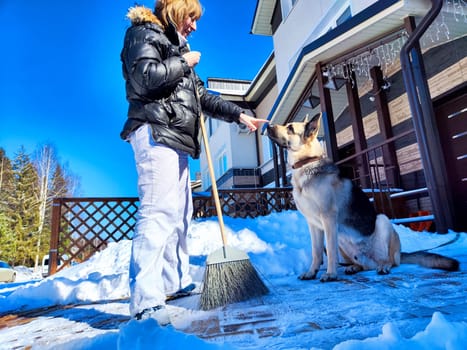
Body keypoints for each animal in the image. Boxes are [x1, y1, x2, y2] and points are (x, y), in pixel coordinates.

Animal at [266, 113, 460, 284]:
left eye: (290, 128)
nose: (267, 126)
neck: (306, 163)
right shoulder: (314, 225)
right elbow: (316, 251)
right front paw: (311, 272)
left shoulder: (328, 219)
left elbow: (329, 251)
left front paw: (330, 274)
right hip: (342, 239)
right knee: (363, 265)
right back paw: (354, 267)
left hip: (382, 221)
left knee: (391, 261)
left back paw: (384, 267)